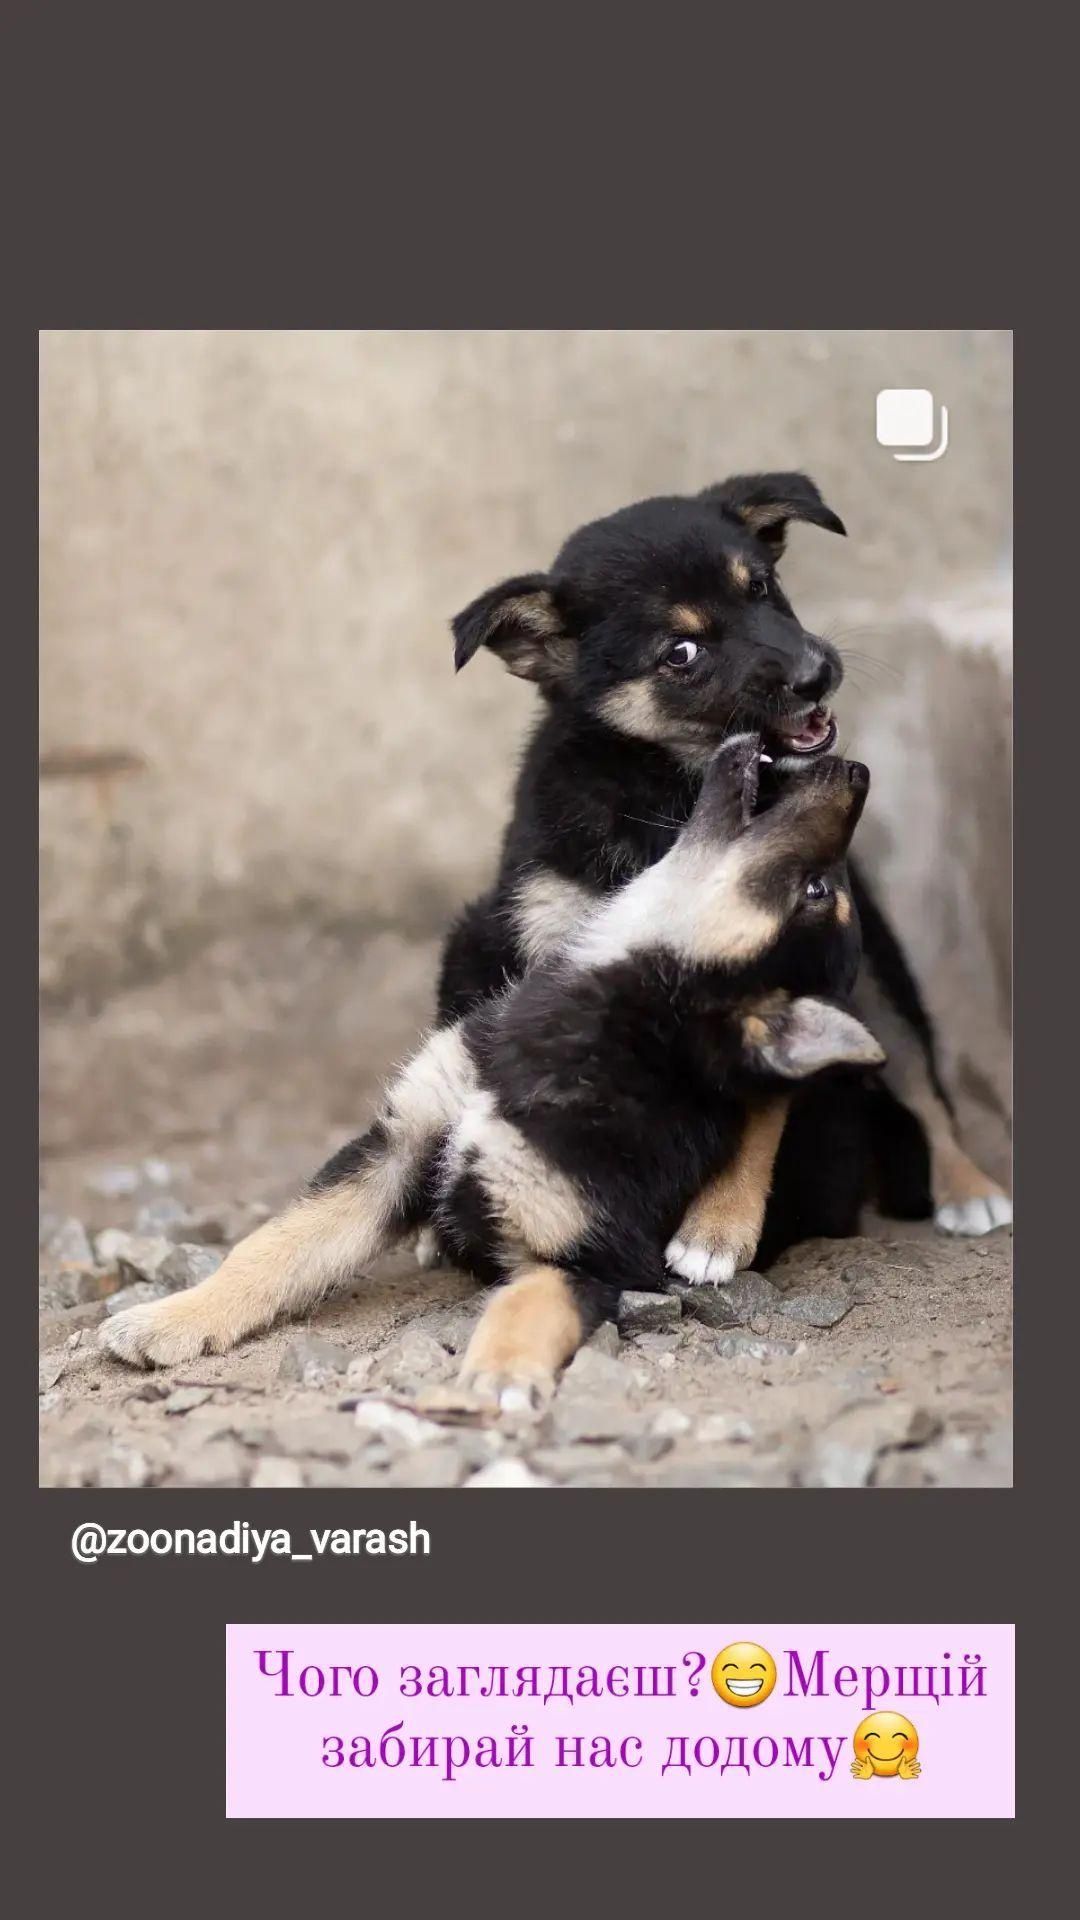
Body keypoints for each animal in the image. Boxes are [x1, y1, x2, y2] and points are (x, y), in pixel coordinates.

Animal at [98, 733, 876, 1397]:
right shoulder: (400, 1146)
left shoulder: (586, 1256)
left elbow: (524, 1306)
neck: (603, 1020)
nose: (858, 771)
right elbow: (270, 1250)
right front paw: (174, 1318)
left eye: (820, 892)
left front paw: (500, 1377)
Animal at [440, 474, 1006, 1267]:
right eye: (680, 653)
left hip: (879, 981)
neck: (675, 792)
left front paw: (717, 1227)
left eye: (761, 587)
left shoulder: (790, 968)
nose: (815, 674)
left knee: (920, 1080)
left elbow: (760, 1105)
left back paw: (968, 1186)